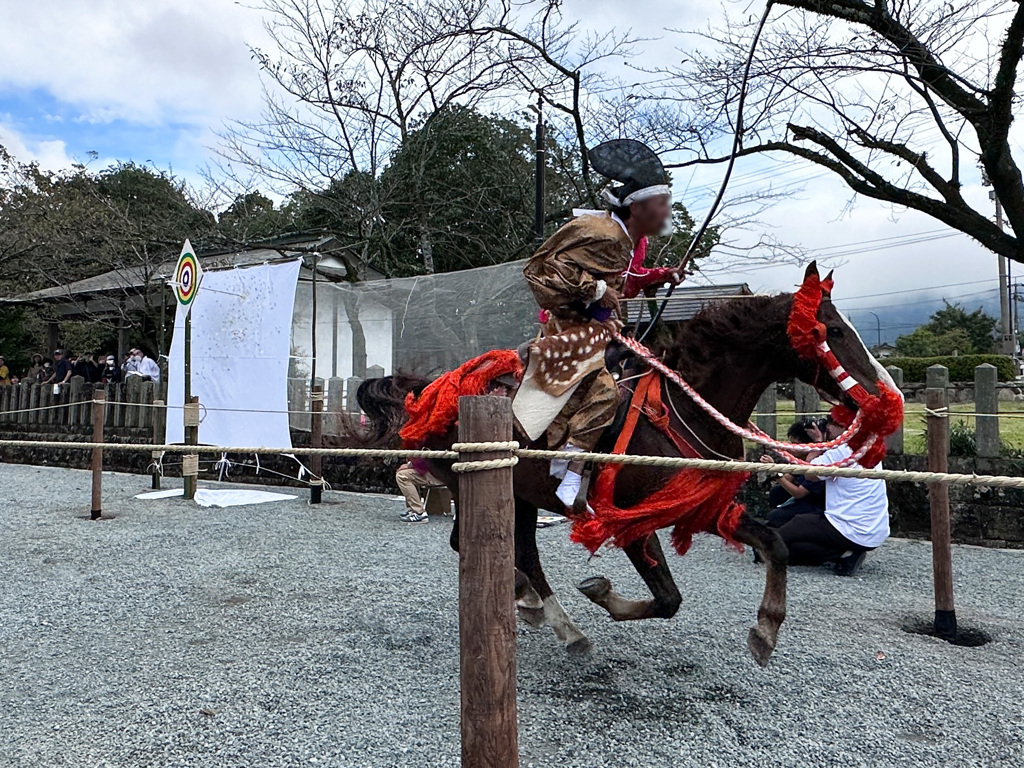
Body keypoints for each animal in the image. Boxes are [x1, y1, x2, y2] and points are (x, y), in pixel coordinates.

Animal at [358, 264, 897, 667]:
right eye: (832, 330)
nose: (886, 393)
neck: (685, 412)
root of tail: (434, 387)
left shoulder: (698, 508)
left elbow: (776, 544)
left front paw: (766, 629)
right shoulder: (633, 520)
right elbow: (667, 598)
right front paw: (600, 591)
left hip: (521, 494)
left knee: (517, 551)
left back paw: (539, 608)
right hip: (486, 484)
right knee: (497, 550)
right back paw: (555, 618)